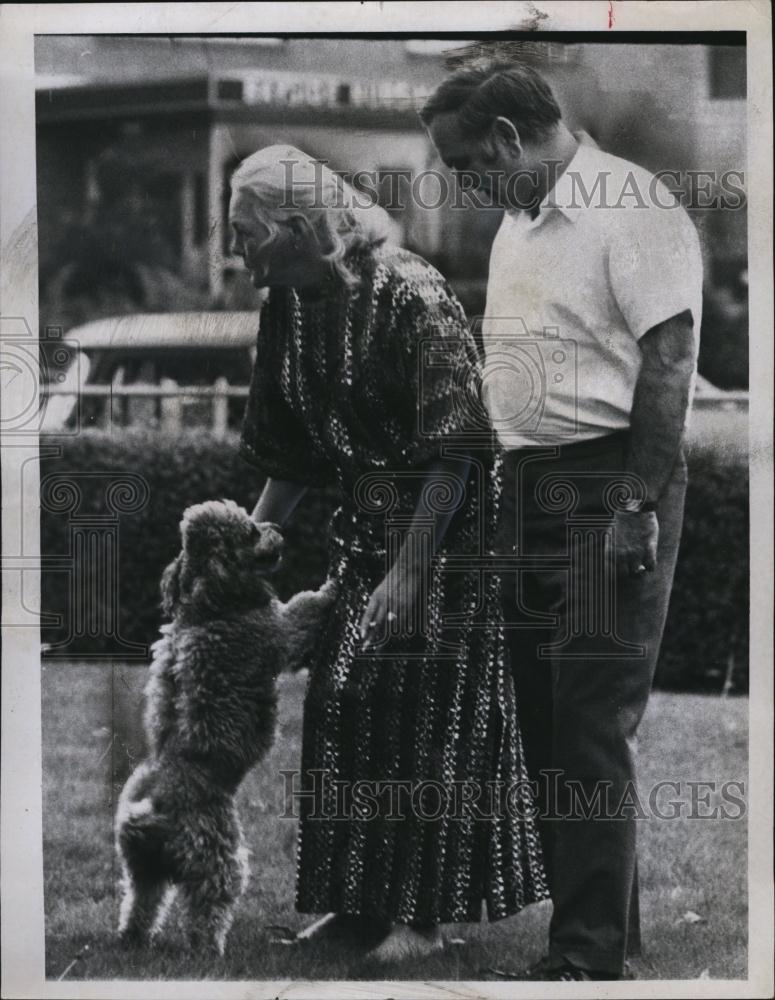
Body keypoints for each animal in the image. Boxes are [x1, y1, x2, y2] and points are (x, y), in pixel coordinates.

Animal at [114, 498, 334, 952]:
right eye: (250, 532)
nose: (277, 527)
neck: (206, 606)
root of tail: (154, 811)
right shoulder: (279, 634)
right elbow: (303, 608)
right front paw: (331, 588)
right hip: (218, 861)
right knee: (206, 911)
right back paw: (210, 950)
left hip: (143, 868)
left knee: (140, 904)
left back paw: (133, 939)